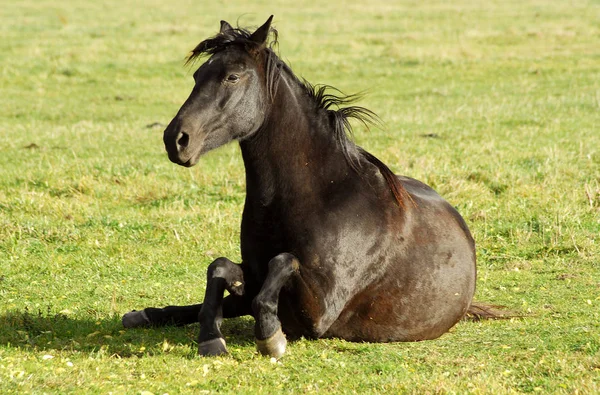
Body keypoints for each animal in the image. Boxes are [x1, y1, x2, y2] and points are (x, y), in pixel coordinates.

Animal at [123, 16, 488, 358]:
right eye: (198, 76)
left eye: (232, 77)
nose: (176, 139)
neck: (323, 194)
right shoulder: (253, 277)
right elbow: (220, 267)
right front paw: (211, 338)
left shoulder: (317, 312)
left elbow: (282, 263)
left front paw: (270, 336)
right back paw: (142, 314)